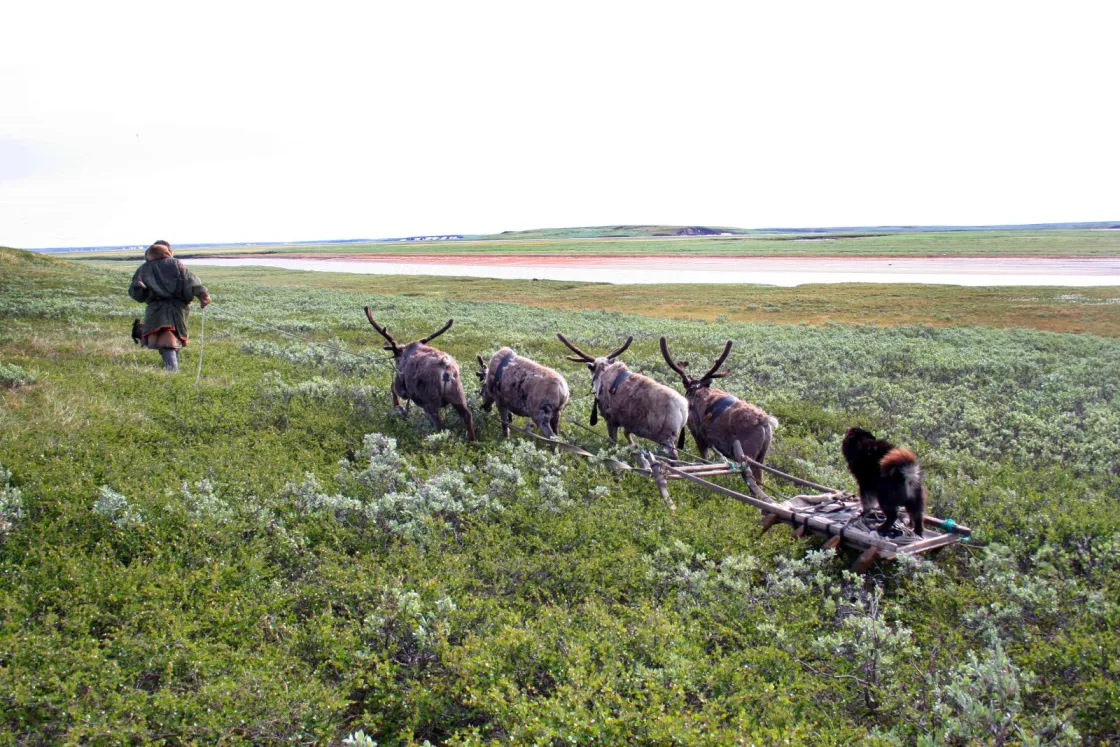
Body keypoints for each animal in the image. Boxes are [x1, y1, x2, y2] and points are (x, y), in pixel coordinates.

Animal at [363, 307, 476, 441]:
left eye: (396, 358)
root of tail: (446, 366)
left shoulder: (401, 386)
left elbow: (393, 389)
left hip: (430, 402)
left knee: (440, 425)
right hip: (458, 395)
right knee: (467, 415)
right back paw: (472, 441)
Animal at [557, 333, 688, 458]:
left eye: (591, 370)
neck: (603, 372)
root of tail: (684, 408)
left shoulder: (610, 419)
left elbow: (613, 440)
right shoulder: (627, 422)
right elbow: (627, 435)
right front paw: (634, 447)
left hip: (666, 438)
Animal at [659, 337, 778, 485]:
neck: (696, 390)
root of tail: (764, 421)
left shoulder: (699, 435)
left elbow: (704, 460)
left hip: (749, 455)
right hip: (761, 457)